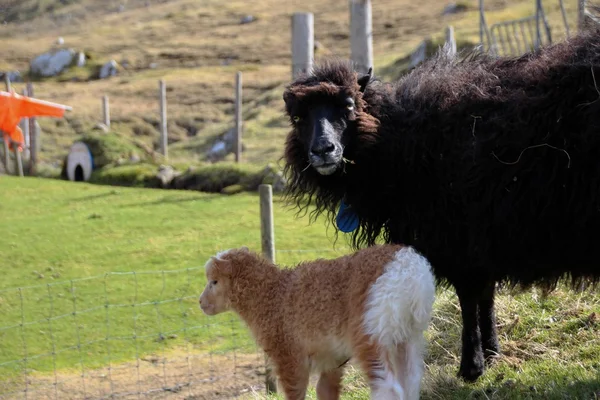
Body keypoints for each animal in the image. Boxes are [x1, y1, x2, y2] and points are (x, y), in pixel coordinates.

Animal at [198, 244, 436, 400]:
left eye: (214, 282)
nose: (201, 303)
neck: (270, 295)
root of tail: (408, 269)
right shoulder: (331, 358)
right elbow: (325, 391)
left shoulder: (288, 355)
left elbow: (295, 394)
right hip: (407, 334)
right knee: (411, 380)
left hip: (369, 331)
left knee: (388, 388)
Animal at [282, 28, 600, 382]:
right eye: (297, 117)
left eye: (349, 107)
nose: (323, 150)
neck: (399, 145)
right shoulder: (478, 238)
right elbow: (486, 295)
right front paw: (492, 353)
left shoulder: (456, 237)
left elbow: (469, 297)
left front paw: (471, 366)